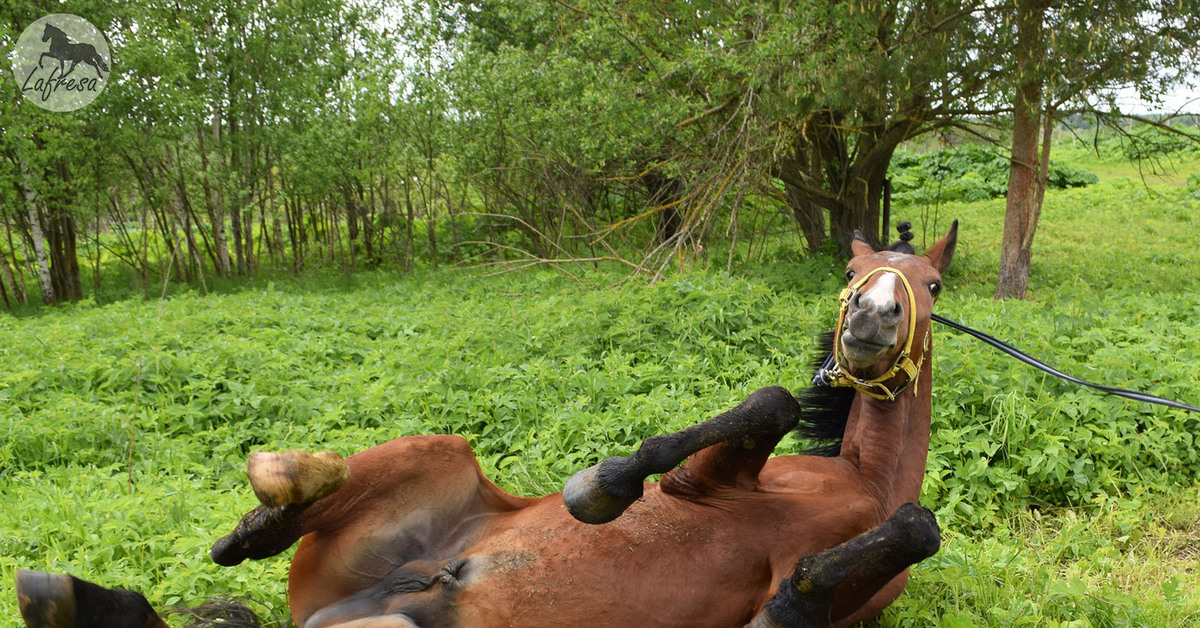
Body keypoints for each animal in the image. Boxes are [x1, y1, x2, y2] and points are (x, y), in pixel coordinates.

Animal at [14, 222, 960, 628]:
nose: (871, 320)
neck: (863, 481)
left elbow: (904, 535)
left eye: (932, 285)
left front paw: (800, 586)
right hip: (440, 453)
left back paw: (75, 597)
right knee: (287, 515)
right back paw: (264, 507)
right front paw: (603, 486)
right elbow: (769, 402)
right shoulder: (714, 478)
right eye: (850, 272)